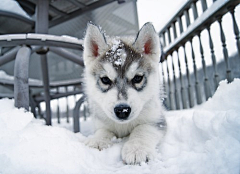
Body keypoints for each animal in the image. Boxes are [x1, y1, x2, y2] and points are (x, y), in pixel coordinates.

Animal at [83, 22, 166, 164]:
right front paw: (97, 141)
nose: (122, 110)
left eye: (137, 78)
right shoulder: (101, 122)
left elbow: (143, 128)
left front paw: (137, 149)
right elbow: (103, 130)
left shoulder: (157, 120)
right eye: (105, 80)